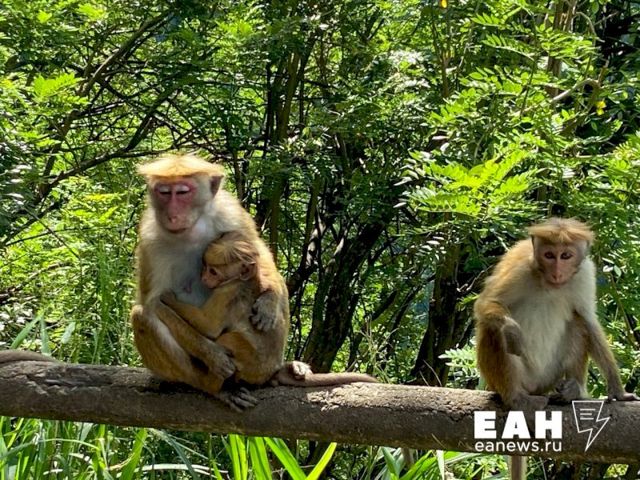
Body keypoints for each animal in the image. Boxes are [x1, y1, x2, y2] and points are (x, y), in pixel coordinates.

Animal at [130, 153, 288, 409]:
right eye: (164, 192)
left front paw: (269, 300)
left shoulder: (228, 210)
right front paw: (213, 355)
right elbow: (151, 304)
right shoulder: (150, 239)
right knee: (141, 316)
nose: (172, 214)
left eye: (183, 192)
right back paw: (212, 386)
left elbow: (257, 248)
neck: (189, 229)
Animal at [160, 231, 378, 389]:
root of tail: (270, 371)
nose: (204, 277)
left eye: (213, 271)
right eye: (205, 266)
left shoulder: (227, 291)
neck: (244, 279)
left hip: (251, 363)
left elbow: (209, 326)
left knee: (228, 339)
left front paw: (167, 298)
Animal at [474, 217, 638, 480]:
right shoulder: (520, 269)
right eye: (549, 255)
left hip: (549, 377)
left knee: (577, 322)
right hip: (511, 379)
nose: (558, 271)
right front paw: (512, 329)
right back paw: (517, 399)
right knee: (492, 330)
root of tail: (534, 388)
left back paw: (572, 390)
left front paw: (618, 391)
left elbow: (588, 321)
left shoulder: (584, 275)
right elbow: (487, 304)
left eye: (566, 255)